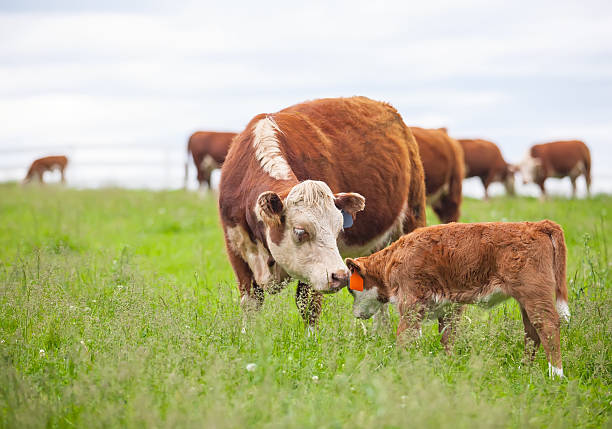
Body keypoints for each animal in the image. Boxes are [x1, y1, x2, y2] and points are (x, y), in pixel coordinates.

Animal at [346, 221, 572, 378]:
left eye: (351, 289)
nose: (356, 313)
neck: (394, 258)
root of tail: (537, 225)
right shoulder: (449, 307)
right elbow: (447, 337)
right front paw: (450, 363)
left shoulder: (410, 302)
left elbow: (404, 335)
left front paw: (400, 363)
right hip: (526, 300)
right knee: (531, 332)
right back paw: (524, 368)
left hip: (535, 294)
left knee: (548, 326)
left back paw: (556, 375)